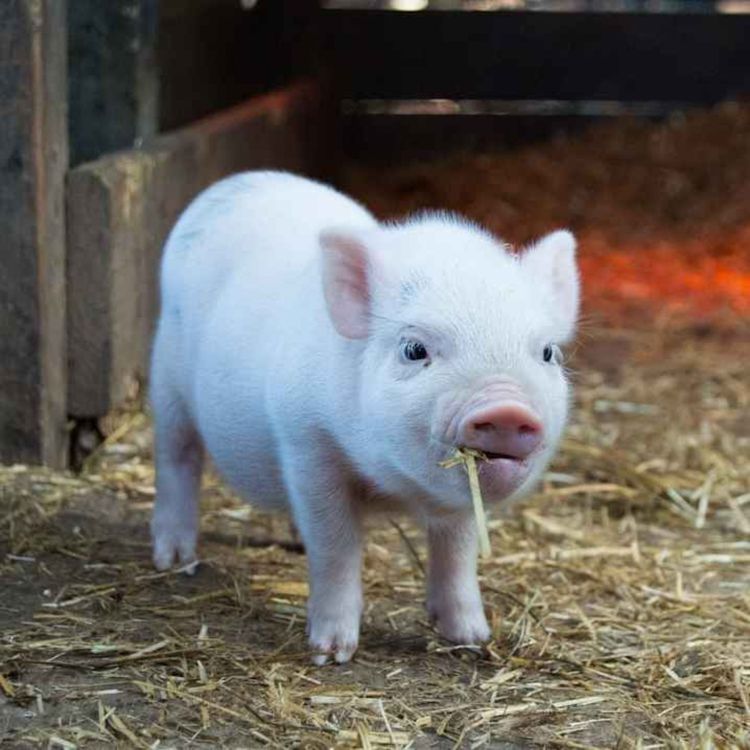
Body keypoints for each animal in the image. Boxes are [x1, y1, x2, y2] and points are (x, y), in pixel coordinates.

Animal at [150, 171, 579, 665]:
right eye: (414, 349)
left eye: (547, 352)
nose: (506, 408)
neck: (394, 487)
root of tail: (236, 182)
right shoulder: (306, 444)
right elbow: (335, 547)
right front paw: (331, 653)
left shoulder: (457, 502)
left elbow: (457, 551)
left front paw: (472, 638)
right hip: (166, 379)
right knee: (177, 457)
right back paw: (174, 560)